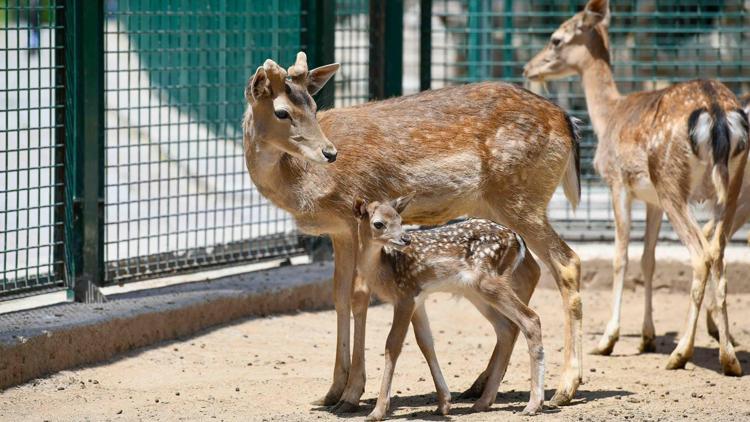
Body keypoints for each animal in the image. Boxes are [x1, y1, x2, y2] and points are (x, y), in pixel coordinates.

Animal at [356, 195, 544, 418]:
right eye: (378, 223)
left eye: (400, 220)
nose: (405, 239)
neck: (385, 270)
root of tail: (517, 238)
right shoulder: (418, 299)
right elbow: (425, 343)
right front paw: (444, 404)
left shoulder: (404, 295)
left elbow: (392, 345)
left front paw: (377, 411)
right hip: (475, 291)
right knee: (507, 327)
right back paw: (483, 402)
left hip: (489, 281)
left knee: (530, 319)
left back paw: (533, 404)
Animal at [524, 0, 748, 376]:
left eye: (556, 39)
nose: (528, 68)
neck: (608, 116)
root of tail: (717, 113)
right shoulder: (651, 199)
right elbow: (648, 259)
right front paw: (647, 337)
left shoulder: (618, 182)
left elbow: (621, 256)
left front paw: (607, 341)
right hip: (730, 187)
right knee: (718, 252)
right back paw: (729, 357)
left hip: (672, 181)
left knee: (701, 253)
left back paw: (681, 353)